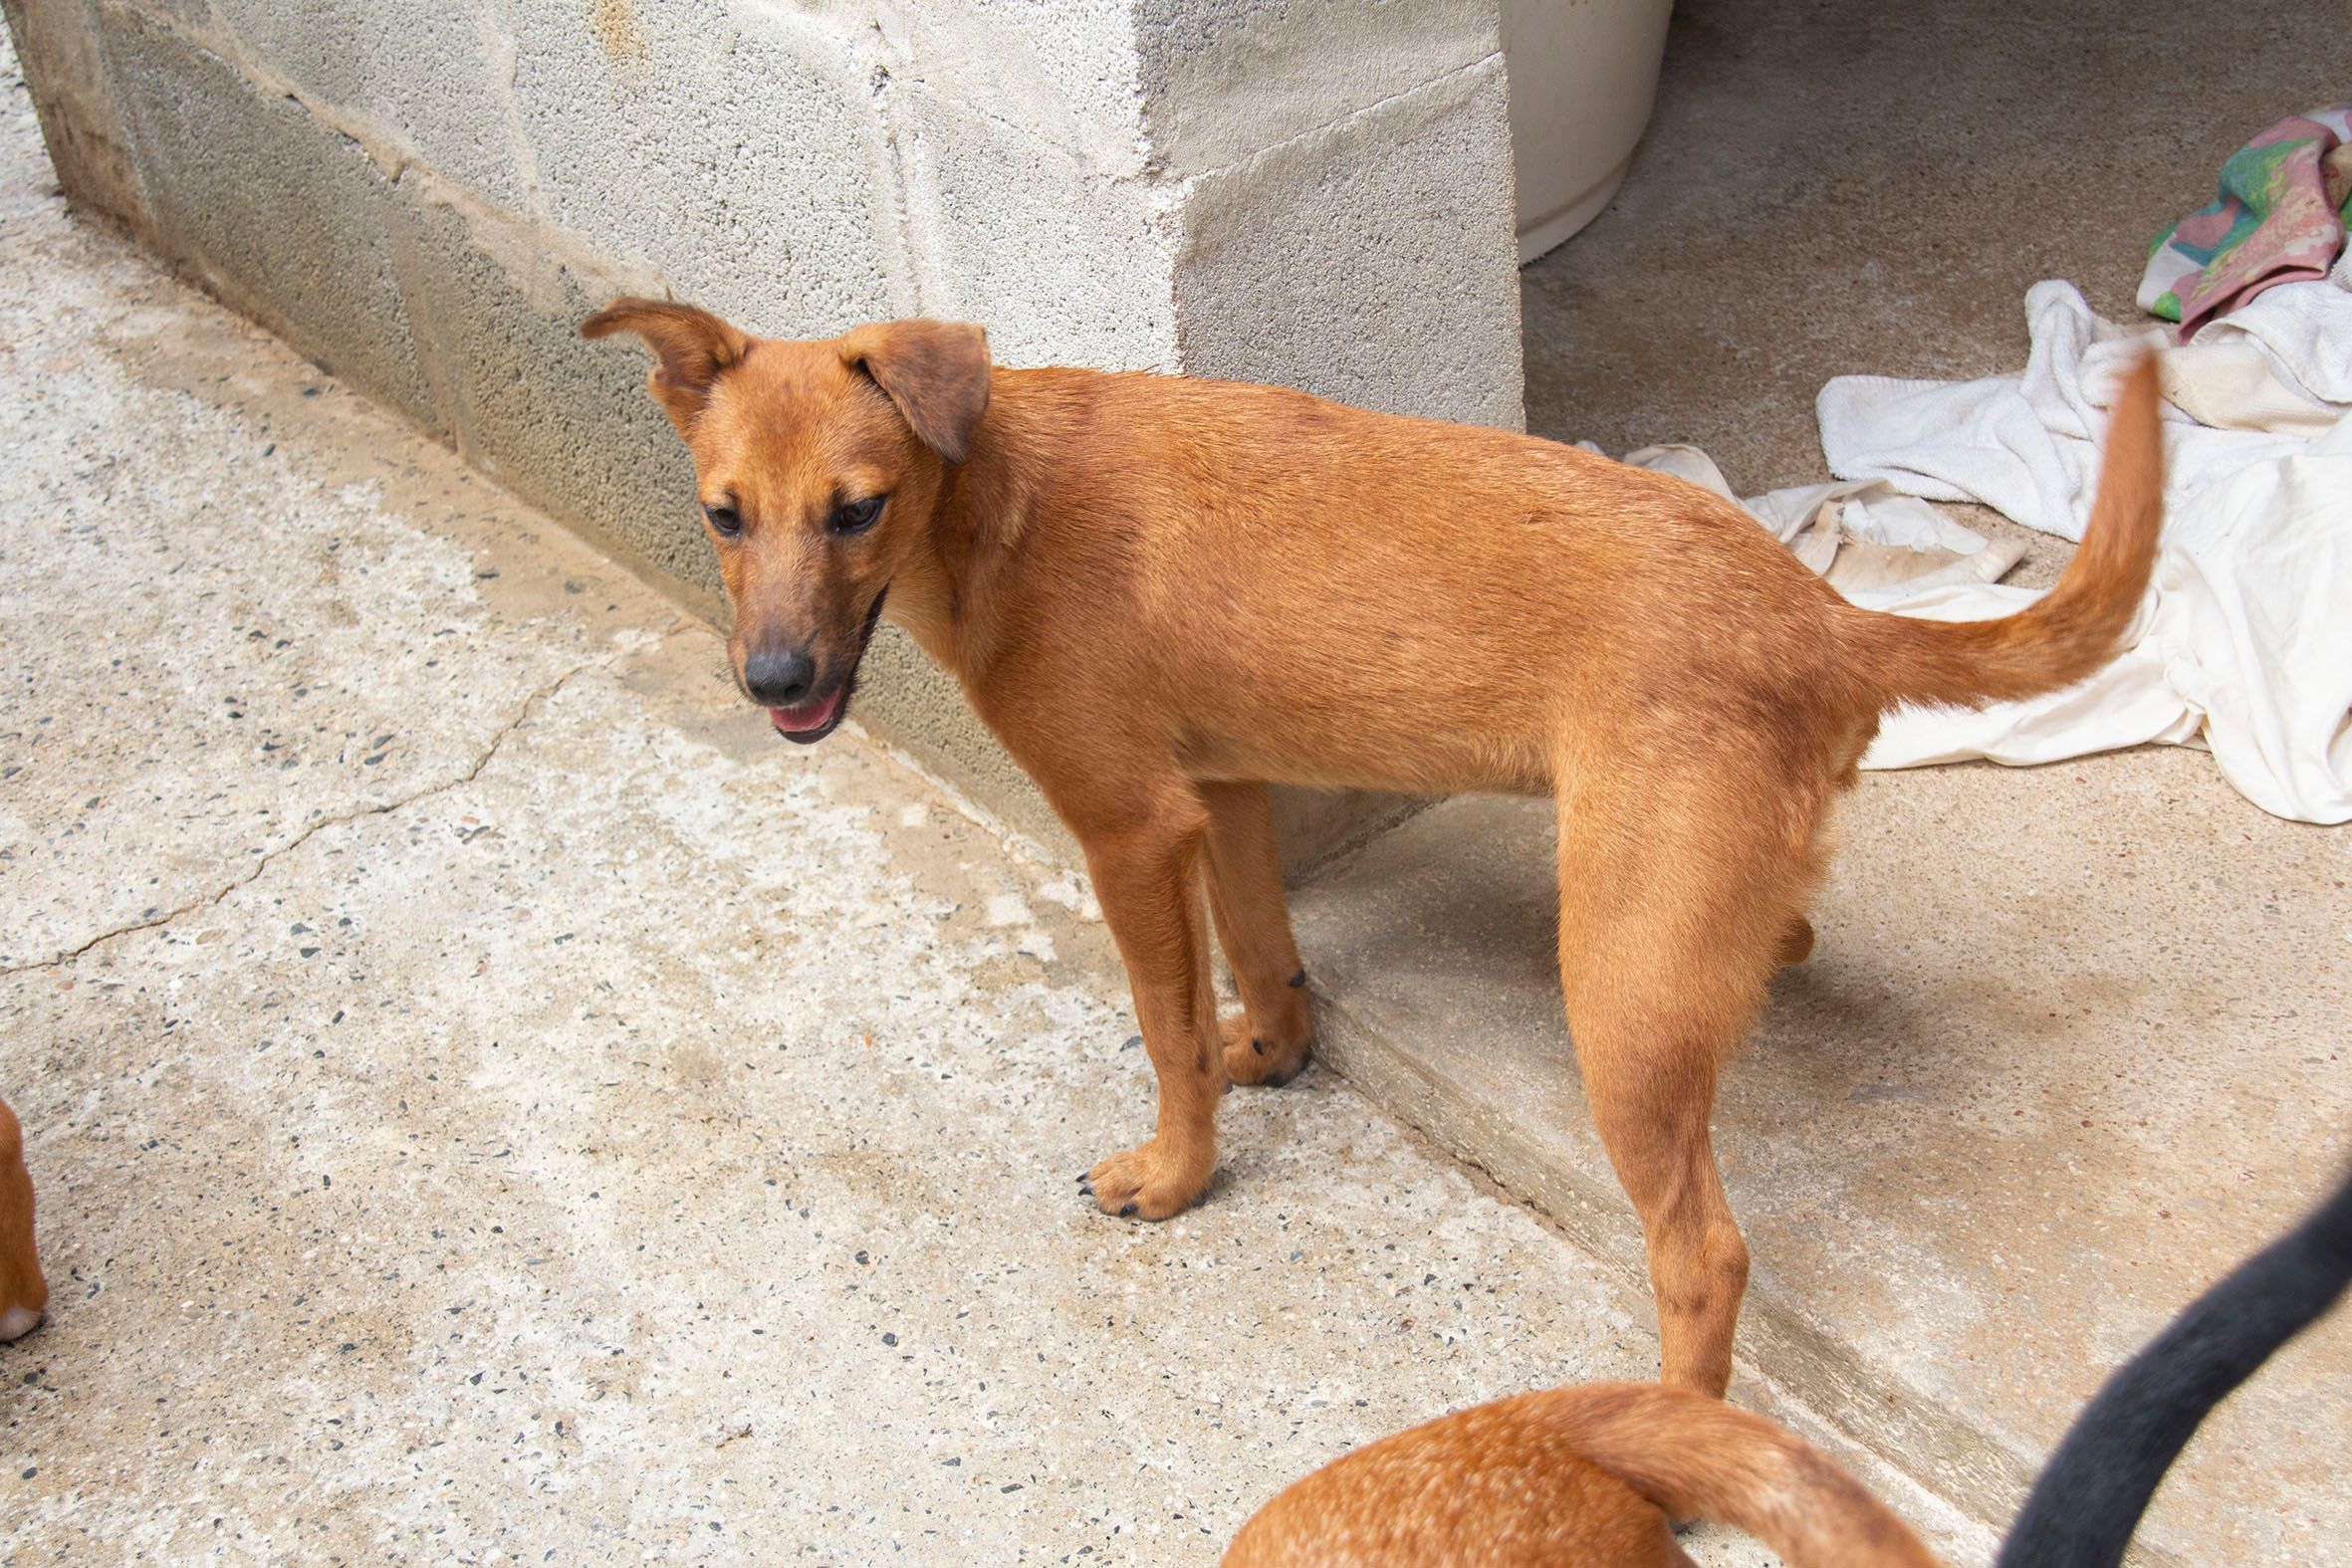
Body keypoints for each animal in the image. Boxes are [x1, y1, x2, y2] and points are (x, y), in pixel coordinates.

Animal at [581, 300, 2161, 1395]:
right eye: (723, 515)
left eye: (857, 509)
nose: (773, 683)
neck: (994, 493)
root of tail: (1824, 616)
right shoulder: (1221, 791)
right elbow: (1260, 952)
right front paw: (1271, 1051)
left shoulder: (1126, 828)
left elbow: (1161, 1026)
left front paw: (1176, 1173)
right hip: (1677, 908)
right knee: (1785, 932)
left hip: (1622, 1001)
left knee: (1702, 1257)